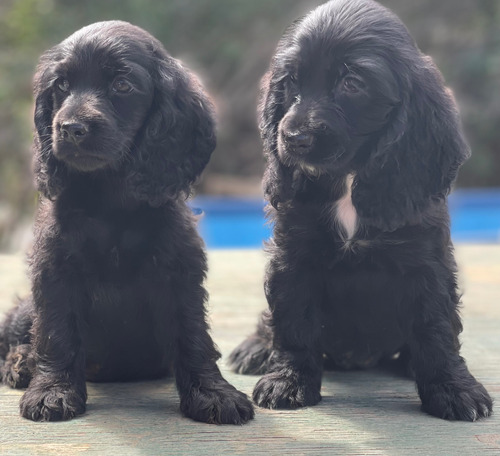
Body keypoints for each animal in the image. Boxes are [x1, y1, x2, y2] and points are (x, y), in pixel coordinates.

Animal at [0, 21, 254, 424]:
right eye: (61, 85)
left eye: (122, 85)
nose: (70, 128)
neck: (111, 203)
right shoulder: (54, 269)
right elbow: (56, 332)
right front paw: (53, 391)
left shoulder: (179, 272)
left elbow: (193, 336)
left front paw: (213, 394)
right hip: (26, 311)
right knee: (14, 333)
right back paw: (21, 362)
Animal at [229, 0, 492, 420]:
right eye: (291, 82)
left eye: (352, 84)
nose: (292, 137)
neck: (349, 179)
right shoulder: (293, 257)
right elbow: (293, 322)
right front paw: (288, 382)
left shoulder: (427, 262)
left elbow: (436, 329)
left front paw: (454, 389)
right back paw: (256, 348)